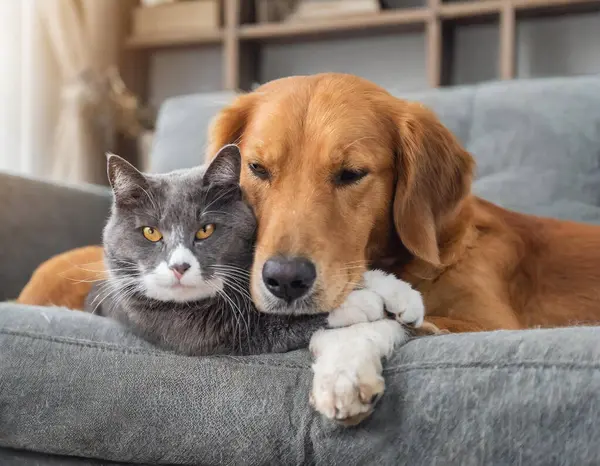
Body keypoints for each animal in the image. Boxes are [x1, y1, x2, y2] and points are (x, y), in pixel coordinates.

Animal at [205, 72, 600, 422]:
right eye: (257, 168)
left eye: (351, 173)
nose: (285, 280)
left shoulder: (490, 323)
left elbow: (384, 320)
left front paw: (345, 367)